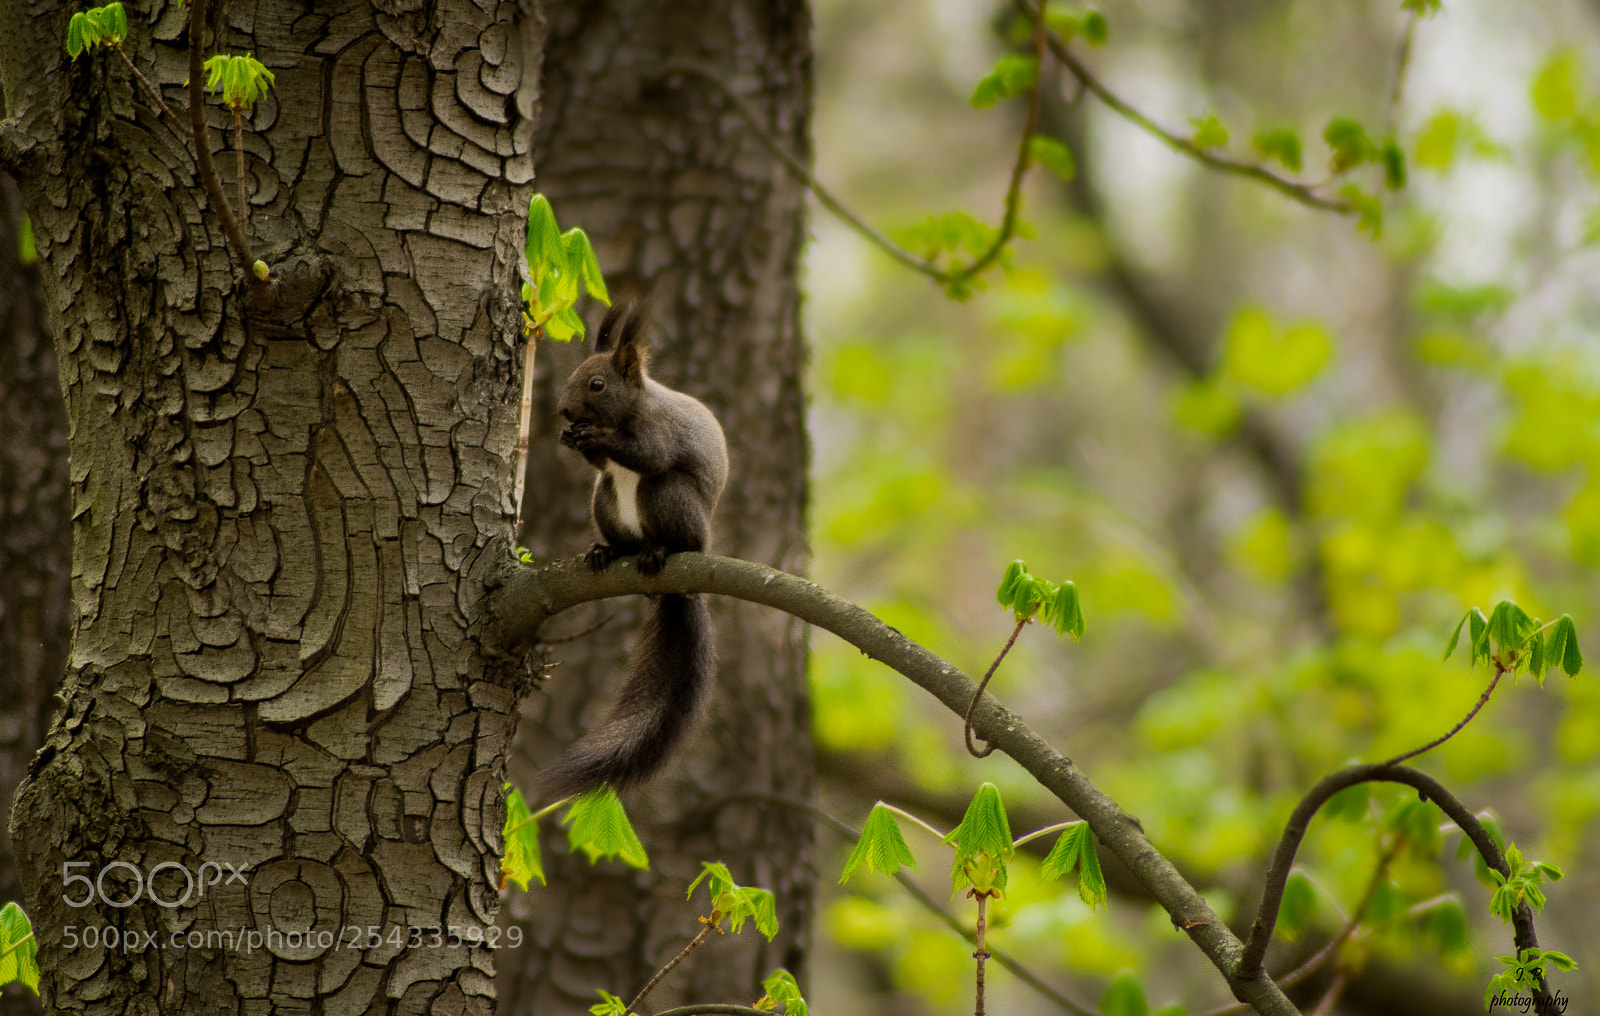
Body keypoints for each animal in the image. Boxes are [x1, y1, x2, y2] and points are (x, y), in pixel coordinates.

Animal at [543, 300, 730, 799]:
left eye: (597, 384)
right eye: (574, 375)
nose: (564, 411)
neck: (624, 412)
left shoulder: (658, 431)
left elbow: (647, 453)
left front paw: (596, 438)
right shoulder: (602, 468)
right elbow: (600, 463)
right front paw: (573, 439)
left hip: (668, 499)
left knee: (664, 507)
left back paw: (657, 552)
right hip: (603, 500)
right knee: (613, 515)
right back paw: (606, 552)